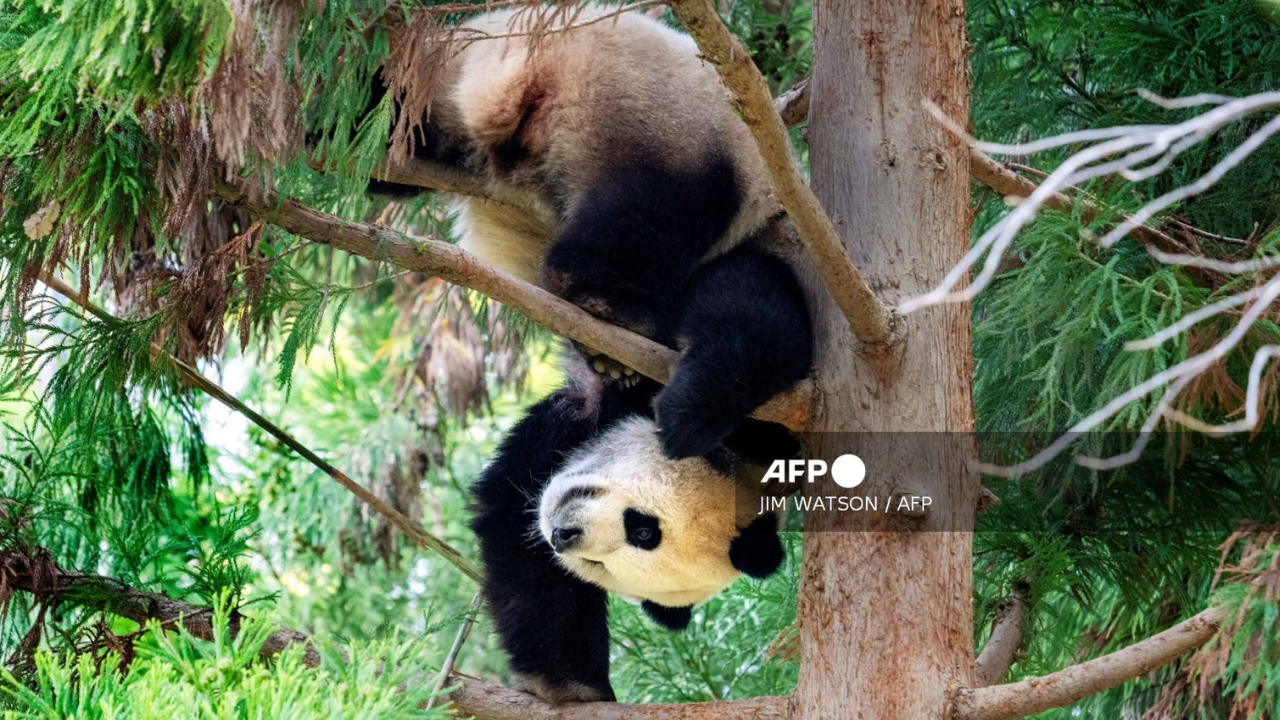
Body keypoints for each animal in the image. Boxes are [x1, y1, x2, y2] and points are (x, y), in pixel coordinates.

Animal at [371, 5, 808, 456]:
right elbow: (754, 322)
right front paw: (689, 421)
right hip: (666, 128)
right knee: (651, 215)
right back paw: (607, 309)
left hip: (450, 80)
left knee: (405, 112)